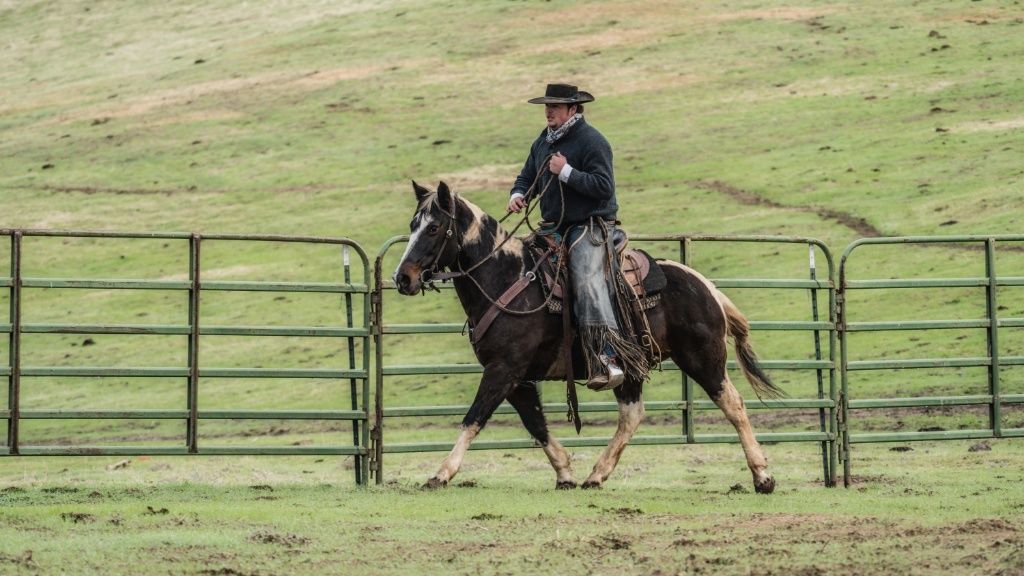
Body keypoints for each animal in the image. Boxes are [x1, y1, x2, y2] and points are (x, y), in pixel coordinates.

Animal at [391, 181, 782, 491]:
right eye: (412, 225)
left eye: (434, 227)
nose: (402, 278)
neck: (506, 279)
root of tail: (707, 286)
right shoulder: (516, 376)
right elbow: (535, 422)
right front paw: (565, 473)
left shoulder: (503, 369)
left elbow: (475, 417)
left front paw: (440, 474)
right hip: (631, 364)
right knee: (631, 415)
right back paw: (596, 474)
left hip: (703, 358)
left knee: (734, 405)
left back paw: (762, 476)